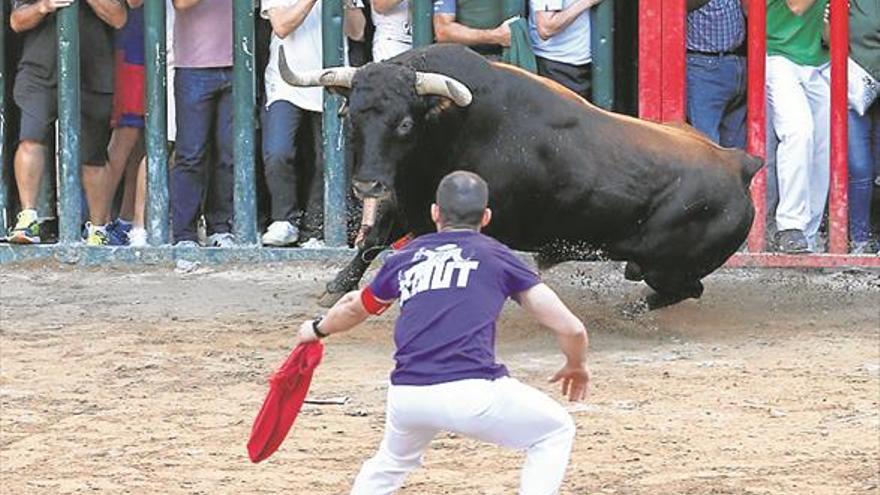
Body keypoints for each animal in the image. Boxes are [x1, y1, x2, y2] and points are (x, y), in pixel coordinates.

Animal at [278, 45, 760, 310]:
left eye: (404, 124)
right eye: (351, 114)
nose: (367, 186)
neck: (450, 126)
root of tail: (737, 164)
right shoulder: (407, 200)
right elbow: (372, 240)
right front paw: (335, 288)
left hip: (667, 266)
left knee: (683, 289)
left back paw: (627, 312)